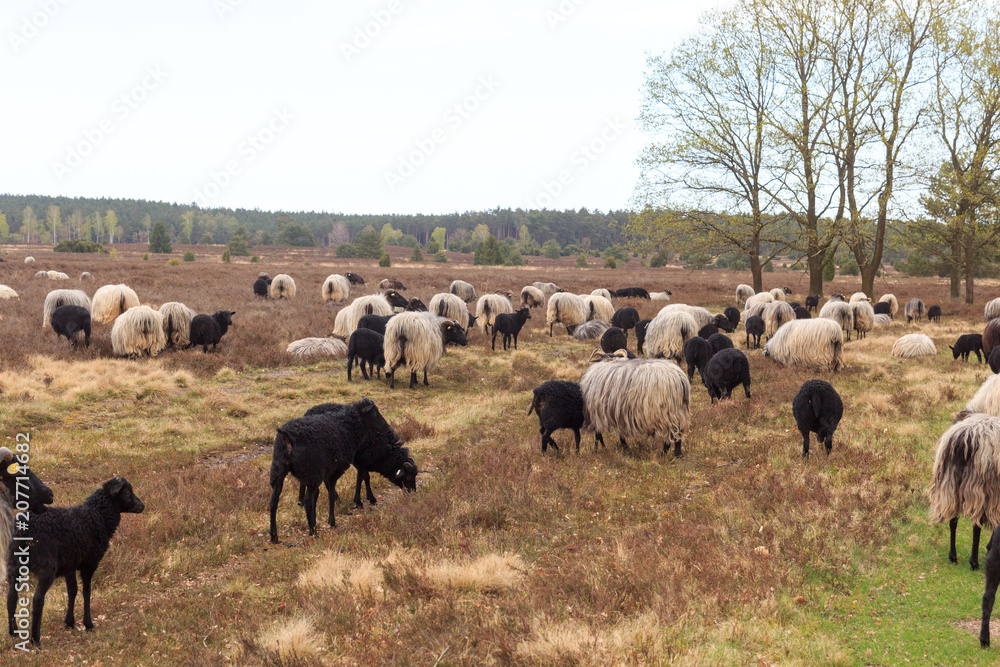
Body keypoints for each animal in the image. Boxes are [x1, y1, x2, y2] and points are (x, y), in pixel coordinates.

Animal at [7, 477, 144, 647]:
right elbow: (86, 591)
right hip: (47, 566)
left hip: (13, 563)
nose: (142, 506)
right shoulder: (89, 563)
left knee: (11, 597)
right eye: (127, 493)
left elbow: (72, 590)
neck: (98, 515)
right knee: (37, 599)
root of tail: (23, 530)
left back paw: (13, 632)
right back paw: (35, 640)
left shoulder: (69, 564)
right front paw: (88, 624)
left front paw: (69, 622)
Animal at [269, 398, 407, 542]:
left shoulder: (327, 472)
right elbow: (330, 495)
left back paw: (274, 536)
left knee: (274, 501)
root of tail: (287, 437)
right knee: (307, 501)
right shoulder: (334, 472)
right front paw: (332, 521)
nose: (387, 428)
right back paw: (313, 532)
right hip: (311, 473)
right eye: (374, 413)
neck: (346, 427)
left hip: (279, 470)